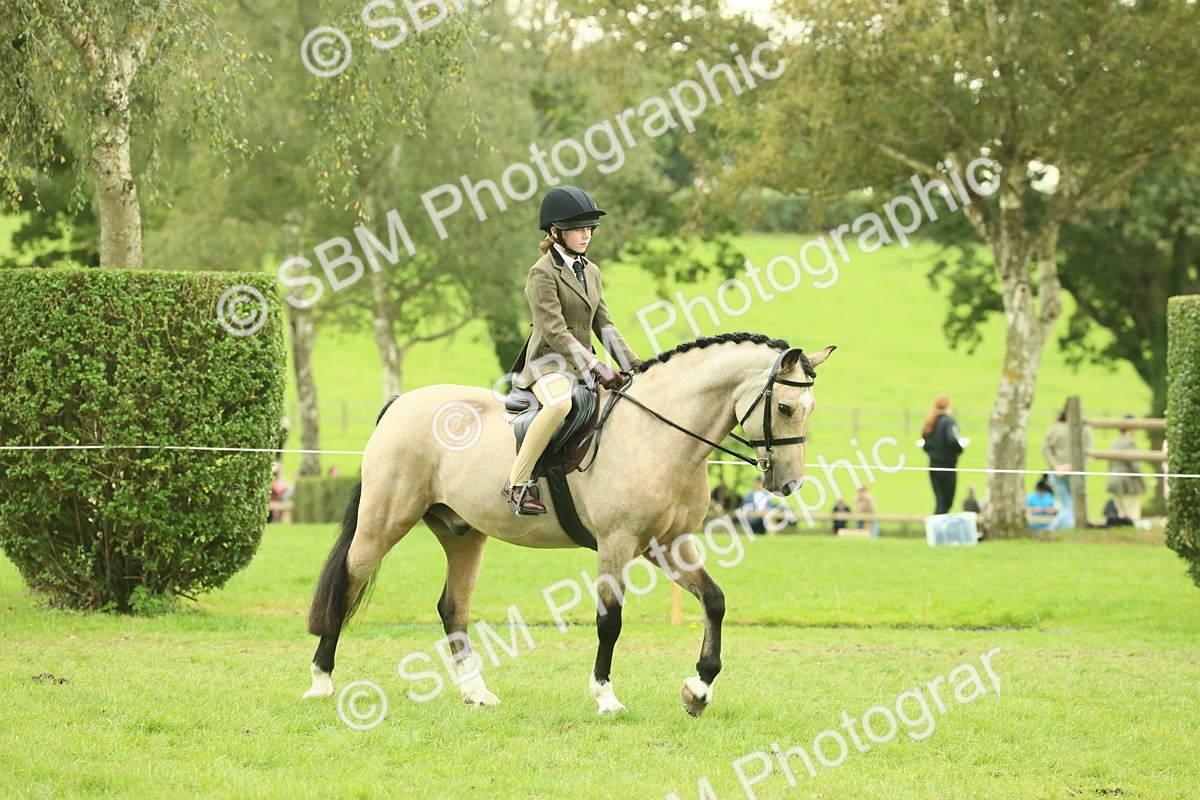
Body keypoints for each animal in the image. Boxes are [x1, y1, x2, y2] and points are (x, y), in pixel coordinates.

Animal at [304, 332, 835, 716]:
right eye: (785, 407)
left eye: (810, 409)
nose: (789, 484)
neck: (659, 434)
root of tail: (401, 403)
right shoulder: (617, 543)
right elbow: (610, 620)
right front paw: (606, 697)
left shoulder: (669, 544)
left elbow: (715, 601)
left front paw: (698, 690)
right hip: (384, 522)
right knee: (349, 583)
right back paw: (321, 681)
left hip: (463, 534)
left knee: (452, 608)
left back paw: (477, 694)